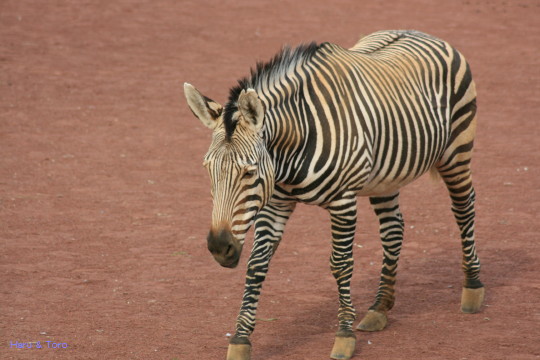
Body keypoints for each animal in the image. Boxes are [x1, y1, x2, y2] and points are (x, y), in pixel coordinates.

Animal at [184, 29, 484, 358]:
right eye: (208, 170)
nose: (219, 247)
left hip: (456, 152)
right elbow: (257, 264)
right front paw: (240, 339)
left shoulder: (343, 202)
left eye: (248, 172)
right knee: (393, 229)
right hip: (385, 178)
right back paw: (380, 307)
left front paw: (344, 335)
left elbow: (340, 264)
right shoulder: (275, 203)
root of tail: (420, 32)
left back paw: (473, 287)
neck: (290, 151)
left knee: (464, 209)